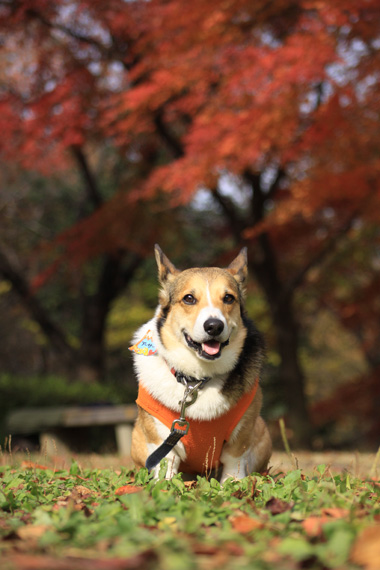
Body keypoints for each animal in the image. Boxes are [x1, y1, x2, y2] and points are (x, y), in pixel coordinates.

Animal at [129, 244, 272, 480]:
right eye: (189, 298)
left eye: (228, 298)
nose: (214, 326)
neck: (197, 379)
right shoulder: (161, 439)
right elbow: (166, 466)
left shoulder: (240, 439)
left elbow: (233, 469)